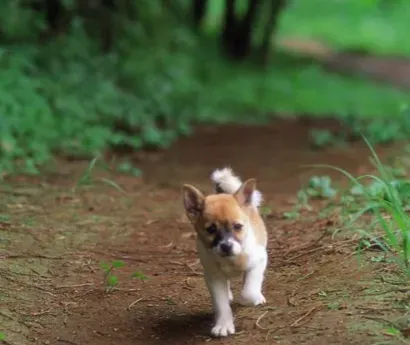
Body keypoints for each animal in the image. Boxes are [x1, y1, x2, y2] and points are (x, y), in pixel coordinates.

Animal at [182, 167, 266, 336]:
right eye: (211, 229)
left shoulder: (260, 260)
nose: (226, 246)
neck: (230, 260)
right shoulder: (213, 276)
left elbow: (248, 291)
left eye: (238, 226)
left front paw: (252, 298)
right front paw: (223, 325)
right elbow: (221, 304)